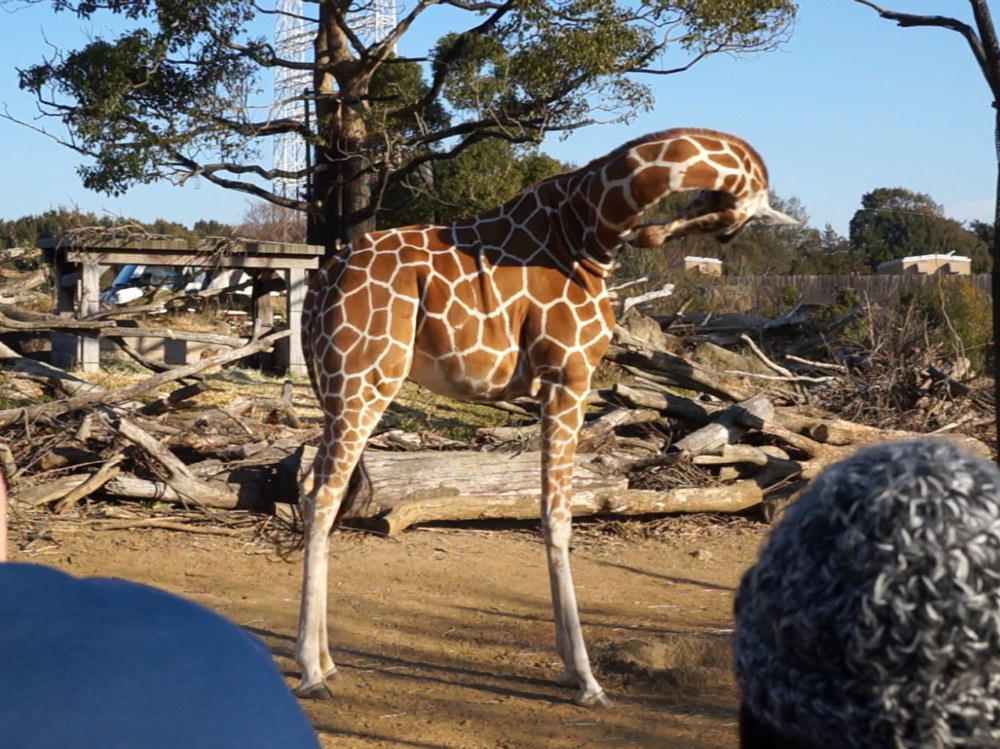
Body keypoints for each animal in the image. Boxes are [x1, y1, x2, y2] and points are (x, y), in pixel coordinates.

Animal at [296, 127, 796, 708]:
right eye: (726, 218)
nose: (650, 235)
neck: (588, 227)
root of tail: (319, 282)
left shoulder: (546, 390)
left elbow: (545, 506)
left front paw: (568, 667)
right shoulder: (569, 378)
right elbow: (559, 517)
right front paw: (585, 678)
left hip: (337, 389)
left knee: (317, 492)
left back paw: (329, 662)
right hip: (365, 379)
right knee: (321, 498)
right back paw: (310, 669)